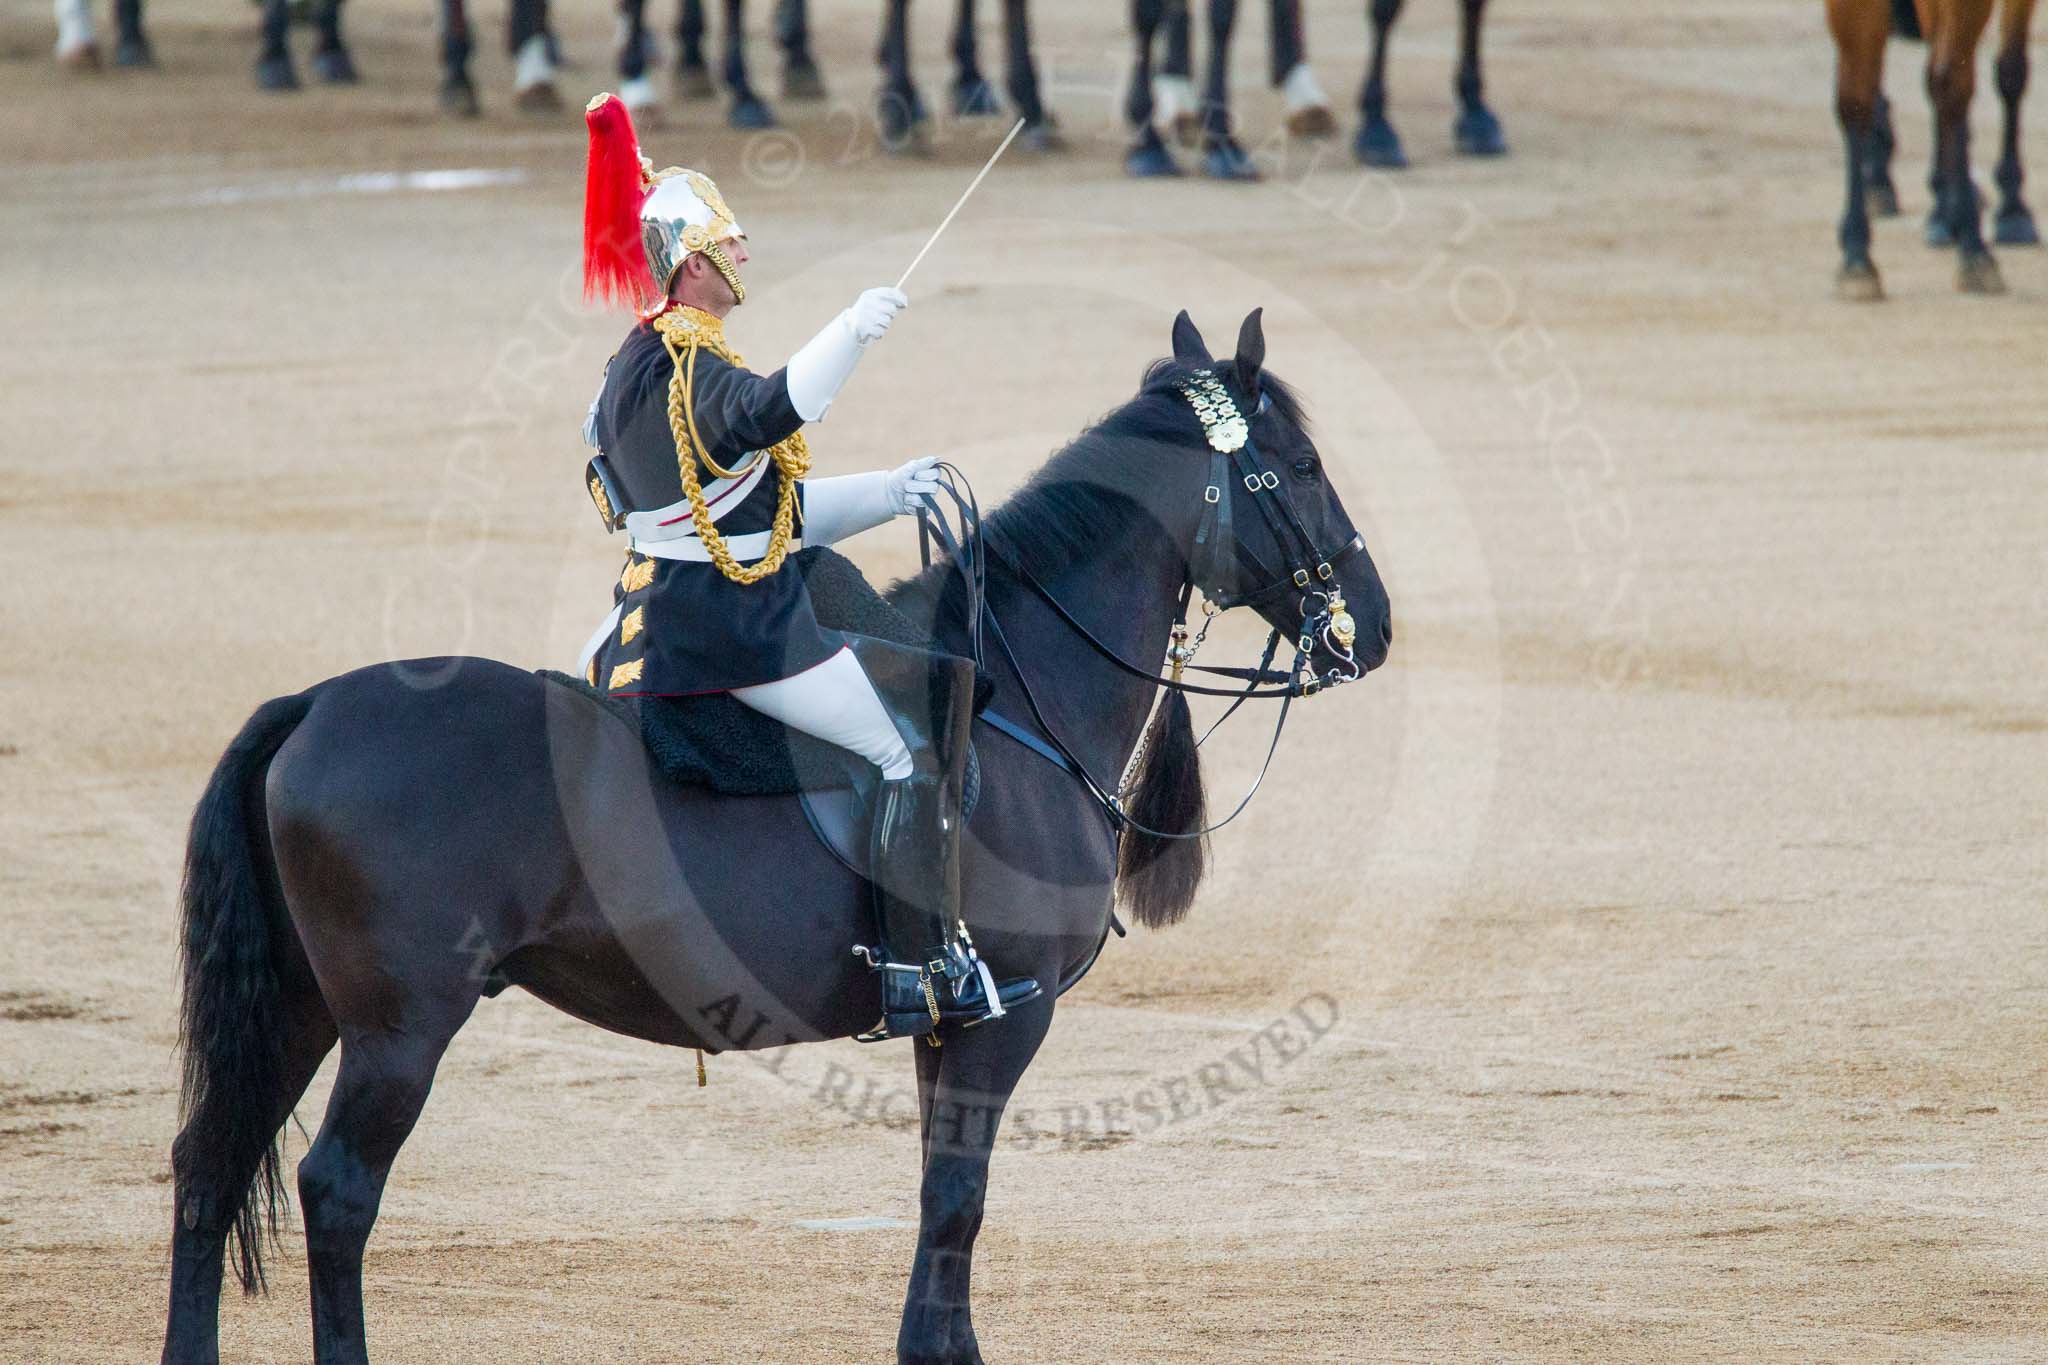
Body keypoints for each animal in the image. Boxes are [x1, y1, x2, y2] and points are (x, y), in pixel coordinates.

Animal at [159, 309, 1392, 1365]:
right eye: (1302, 466)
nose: (1371, 625)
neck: (1021, 698)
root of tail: (313, 704)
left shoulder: (947, 1025)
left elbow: (944, 1192)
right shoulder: (1006, 1016)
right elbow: (956, 1200)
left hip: (303, 1004)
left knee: (206, 1165)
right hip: (399, 1027)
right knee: (335, 1192)